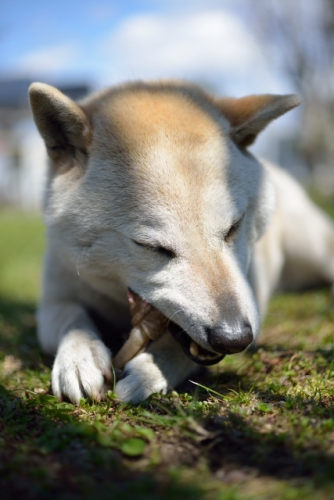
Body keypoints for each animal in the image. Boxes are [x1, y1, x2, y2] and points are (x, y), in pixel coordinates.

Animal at [28, 80, 334, 404]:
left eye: (233, 228)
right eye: (152, 247)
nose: (234, 337)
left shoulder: (252, 297)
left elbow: (178, 348)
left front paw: (151, 371)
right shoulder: (56, 298)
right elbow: (71, 319)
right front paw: (79, 355)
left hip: (310, 246)